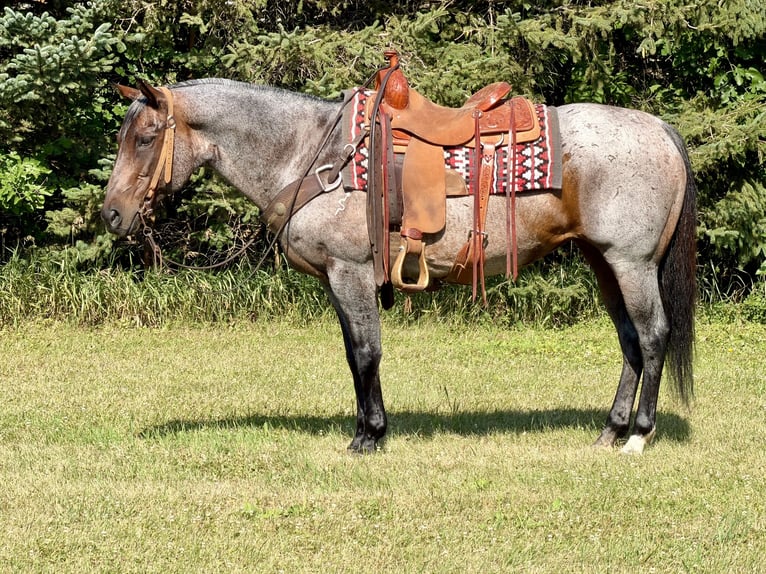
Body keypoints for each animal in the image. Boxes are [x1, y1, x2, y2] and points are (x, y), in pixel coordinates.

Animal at [102, 77, 696, 455]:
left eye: (146, 138)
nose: (111, 214)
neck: (311, 155)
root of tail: (661, 130)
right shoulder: (339, 280)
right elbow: (354, 354)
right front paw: (371, 428)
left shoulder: (350, 272)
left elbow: (366, 353)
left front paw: (368, 436)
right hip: (603, 262)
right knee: (629, 341)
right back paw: (610, 431)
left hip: (632, 263)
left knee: (652, 336)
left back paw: (638, 435)